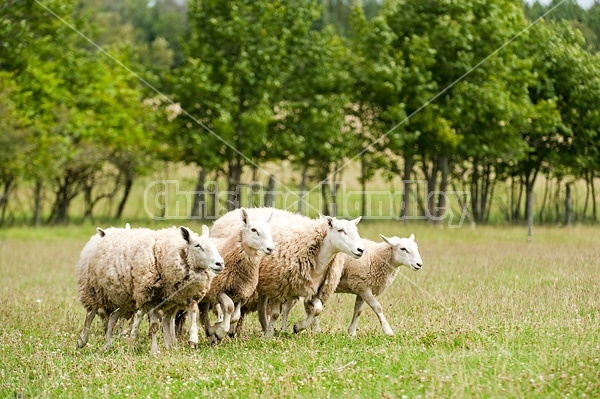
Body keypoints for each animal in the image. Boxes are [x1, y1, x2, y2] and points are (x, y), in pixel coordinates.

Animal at [75, 227, 223, 354]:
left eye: (215, 245)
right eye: (197, 245)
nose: (220, 263)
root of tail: (106, 235)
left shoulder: (177, 299)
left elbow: (184, 316)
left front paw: (185, 341)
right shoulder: (150, 298)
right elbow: (155, 326)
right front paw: (155, 350)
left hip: (125, 298)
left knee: (112, 317)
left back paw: (107, 345)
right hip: (94, 289)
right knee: (91, 313)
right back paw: (82, 340)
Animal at [197, 209, 276, 344]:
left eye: (269, 230)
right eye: (253, 229)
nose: (270, 248)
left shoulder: (241, 292)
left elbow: (236, 315)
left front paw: (226, 329)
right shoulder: (219, 289)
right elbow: (229, 307)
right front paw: (220, 331)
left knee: (203, 315)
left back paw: (211, 335)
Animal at [209, 208, 364, 340]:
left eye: (356, 230)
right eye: (340, 230)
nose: (361, 250)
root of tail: (225, 215)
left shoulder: (313, 288)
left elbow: (317, 309)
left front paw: (298, 327)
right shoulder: (278, 285)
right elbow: (276, 314)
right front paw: (271, 334)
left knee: (260, 308)